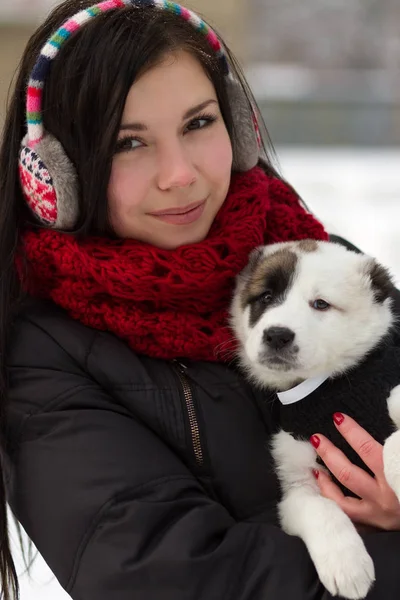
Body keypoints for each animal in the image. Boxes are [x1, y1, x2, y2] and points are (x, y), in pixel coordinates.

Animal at [230, 240, 400, 600]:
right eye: (266, 297)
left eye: (321, 304)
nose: (277, 335)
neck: (327, 388)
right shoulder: (298, 480)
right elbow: (320, 511)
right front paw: (346, 566)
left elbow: (395, 433)